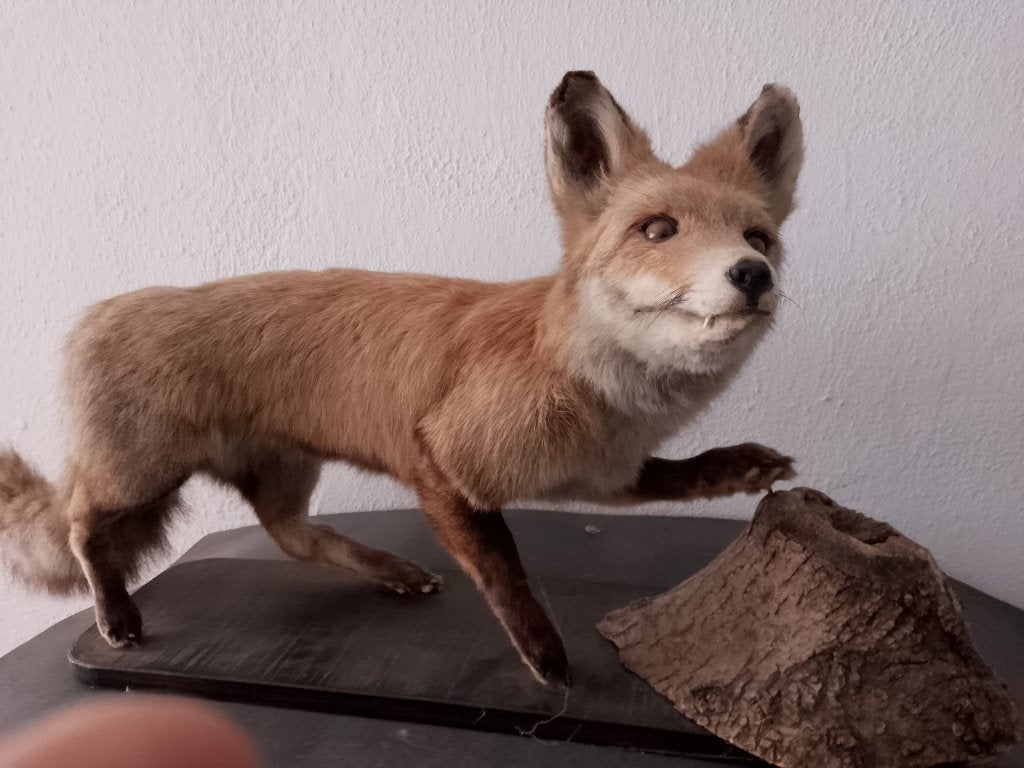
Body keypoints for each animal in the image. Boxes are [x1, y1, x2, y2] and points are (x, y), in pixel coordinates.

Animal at [0, 71, 803, 686]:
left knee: (292, 536)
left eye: (759, 239)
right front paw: (544, 653)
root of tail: (99, 311)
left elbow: (677, 476)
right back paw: (116, 616)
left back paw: (388, 569)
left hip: (284, 471)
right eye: (658, 230)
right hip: (139, 477)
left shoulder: (601, 477)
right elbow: (504, 569)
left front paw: (740, 466)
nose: (752, 275)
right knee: (81, 526)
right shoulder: (441, 463)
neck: (605, 403)